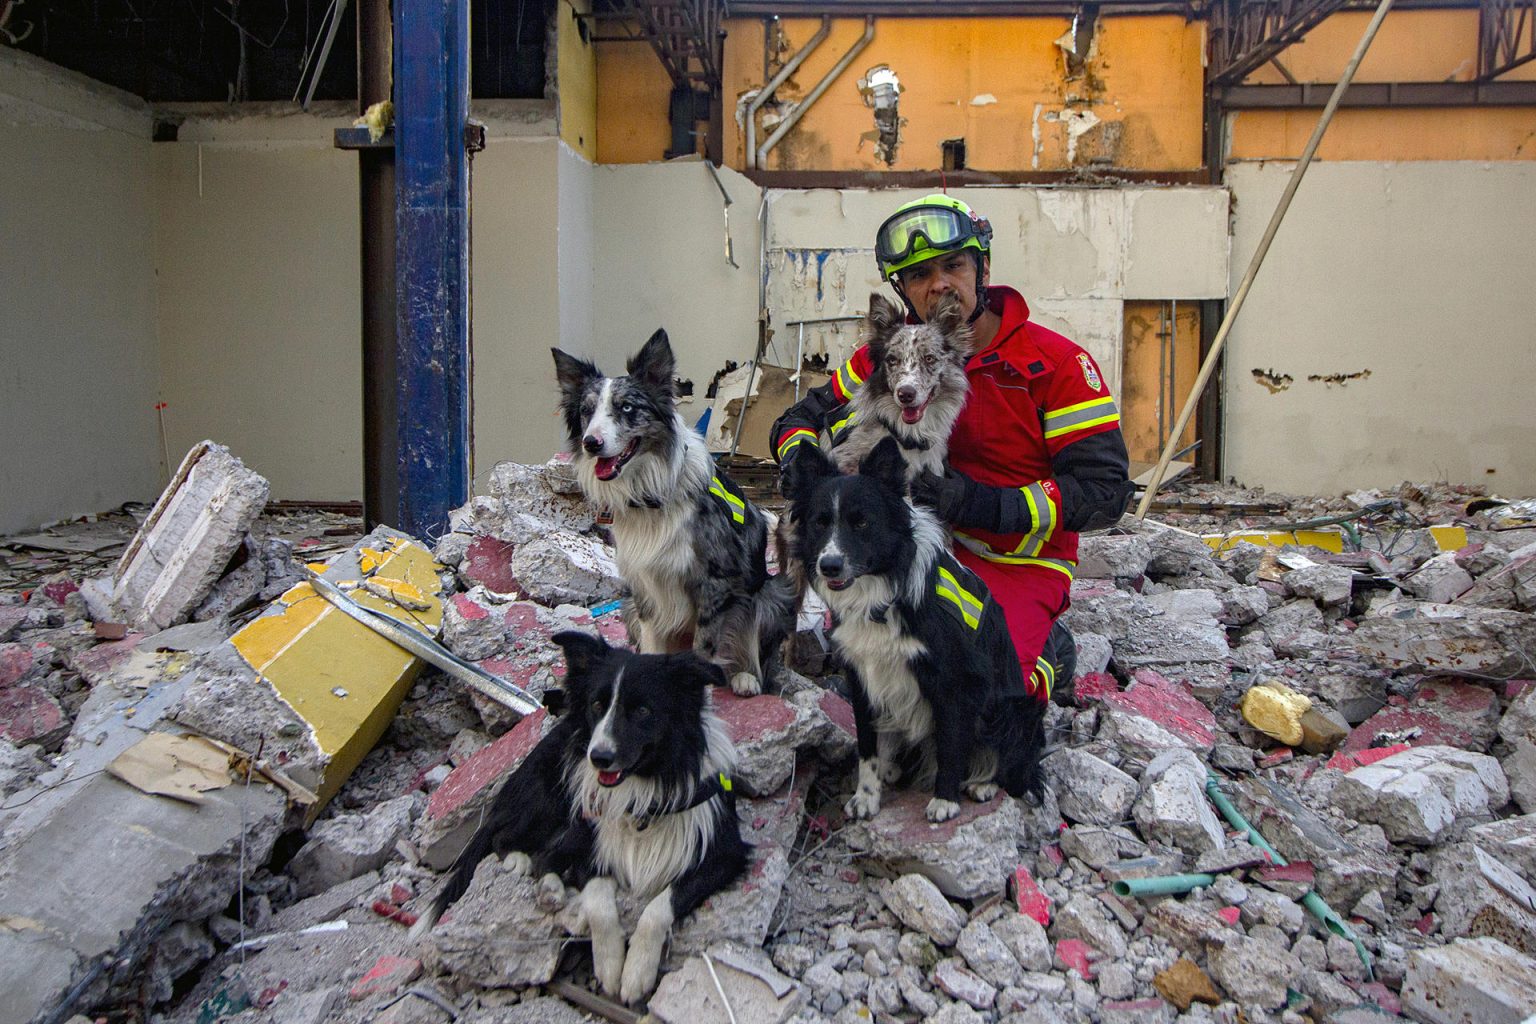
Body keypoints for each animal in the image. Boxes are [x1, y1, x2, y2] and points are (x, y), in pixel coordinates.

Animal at [405, 629, 746, 1007]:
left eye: (643, 710)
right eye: (597, 705)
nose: (599, 758)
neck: (647, 787)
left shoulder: (724, 854)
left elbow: (658, 907)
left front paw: (636, 973)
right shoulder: (590, 838)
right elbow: (598, 900)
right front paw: (610, 966)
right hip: (551, 797)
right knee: (509, 840)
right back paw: (528, 868)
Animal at [549, 333, 792, 700]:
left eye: (627, 407)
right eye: (586, 411)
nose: (591, 443)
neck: (650, 495)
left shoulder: (715, 581)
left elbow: (705, 646)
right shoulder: (645, 586)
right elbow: (652, 645)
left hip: (770, 595)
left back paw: (744, 677)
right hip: (627, 604)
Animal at [780, 442, 1044, 822]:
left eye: (862, 522)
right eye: (820, 522)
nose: (829, 566)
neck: (881, 595)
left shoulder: (953, 680)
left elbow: (950, 744)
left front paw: (945, 800)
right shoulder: (862, 677)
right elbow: (868, 748)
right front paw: (866, 797)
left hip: (1015, 709)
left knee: (1014, 763)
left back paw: (984, 783)